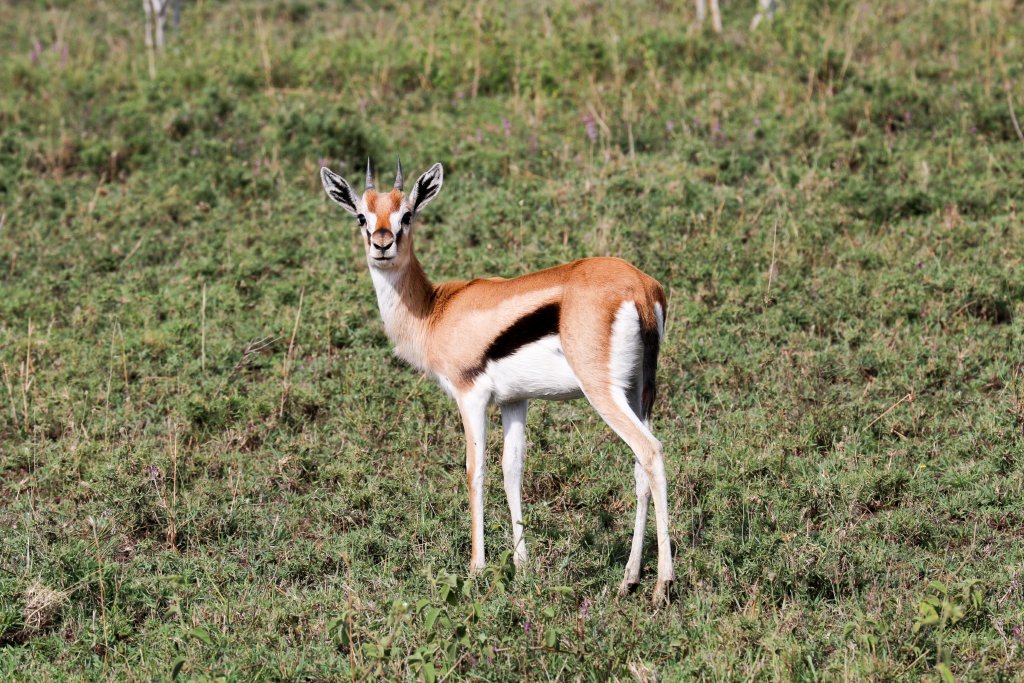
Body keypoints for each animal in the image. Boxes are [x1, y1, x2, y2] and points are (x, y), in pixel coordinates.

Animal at [319, 159, 674, 602]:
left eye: (407, 214)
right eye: (361, 216)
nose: (382, 244)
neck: (436, 310)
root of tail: (640, 287)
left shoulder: (470, 396)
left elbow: (476, 471)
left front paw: (477, 569)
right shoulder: (514, 401)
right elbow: (512, 470)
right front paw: (522, 567)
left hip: (603, 393)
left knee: (651, 452)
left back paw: (662, 585)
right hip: (637, 393)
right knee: (639, 469)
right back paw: (629, 579)